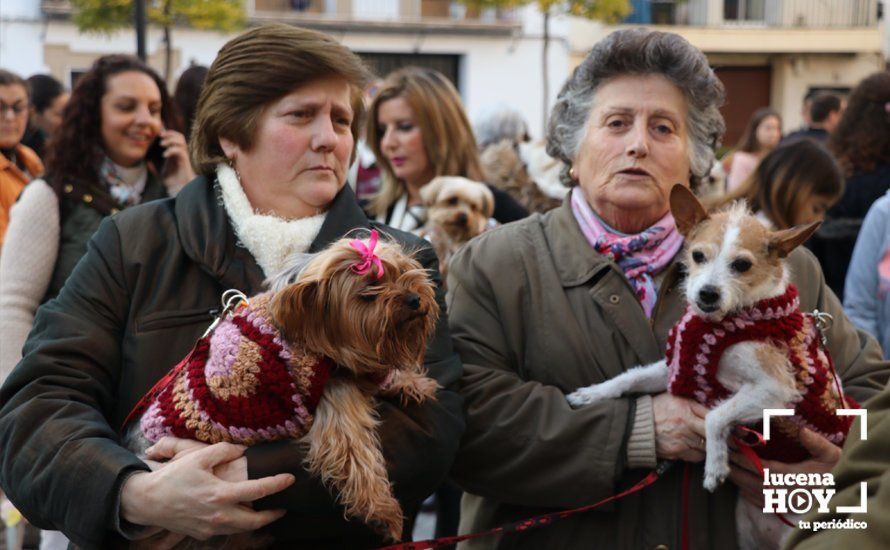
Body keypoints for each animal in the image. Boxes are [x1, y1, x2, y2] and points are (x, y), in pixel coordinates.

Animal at [125, 231, 440, 544]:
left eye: (402, 271)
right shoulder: (333, 400)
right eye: (369, 291)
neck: (314, 332)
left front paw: (410, 382)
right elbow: (353, 453)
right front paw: (381, 512)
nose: (415, 298)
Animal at [564, 187, 856, 550]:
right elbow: (629, 378)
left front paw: (715, 465)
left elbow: (716, 416)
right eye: (698, 255)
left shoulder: (775, 390)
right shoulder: (678, 368)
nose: (707, 294)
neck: (725, 320)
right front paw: (592, 394)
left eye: (742, 265)